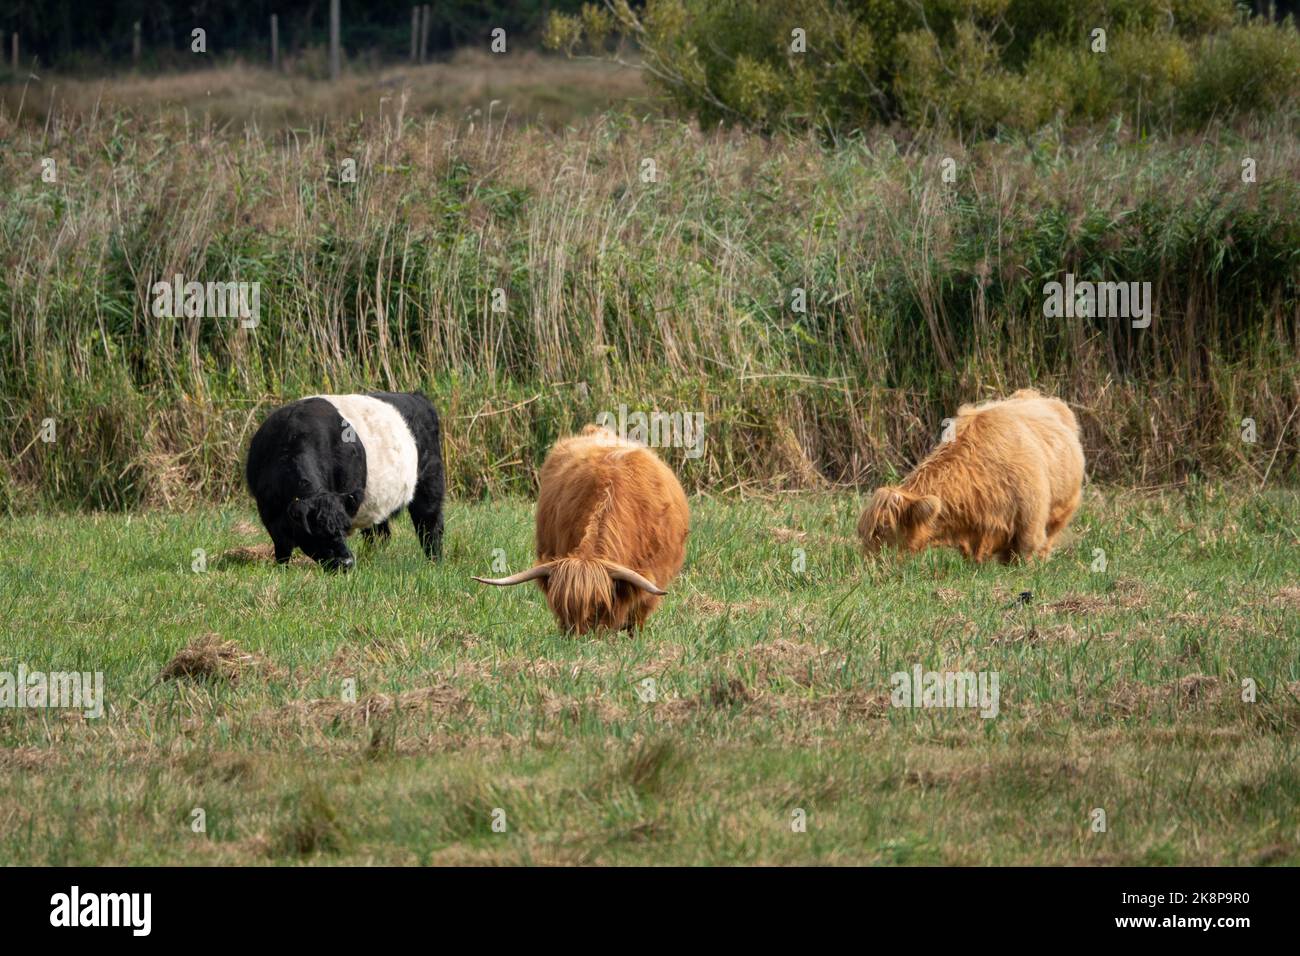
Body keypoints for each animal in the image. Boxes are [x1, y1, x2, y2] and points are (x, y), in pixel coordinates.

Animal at [244, 392, 447, 572]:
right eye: (317, 529)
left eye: (343, 528)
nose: (347, 562)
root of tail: (416, 396)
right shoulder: (269, 514)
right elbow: (282, 549)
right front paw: (282, 570)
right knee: (380, 534)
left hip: (430, 485)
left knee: (430, 527)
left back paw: (434, 563)